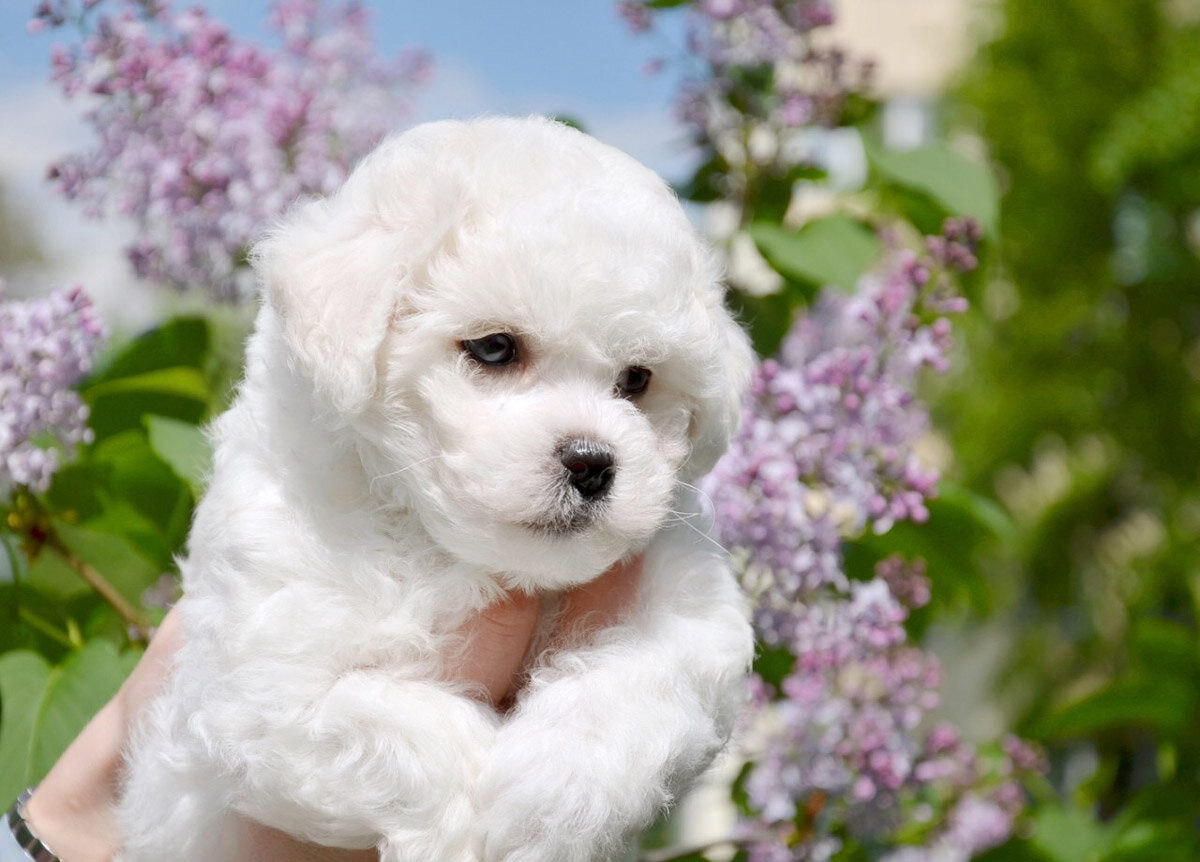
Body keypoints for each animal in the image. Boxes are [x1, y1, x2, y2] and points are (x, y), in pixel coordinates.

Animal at [112, 116, 748, 862]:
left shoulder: (693, 614)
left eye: (638, 379)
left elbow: (645, 686)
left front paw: (547, 800)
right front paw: (473, 825)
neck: (452, 551)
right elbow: (395, 726)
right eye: (494, 348)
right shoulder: (259, 682)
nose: (593, 462)